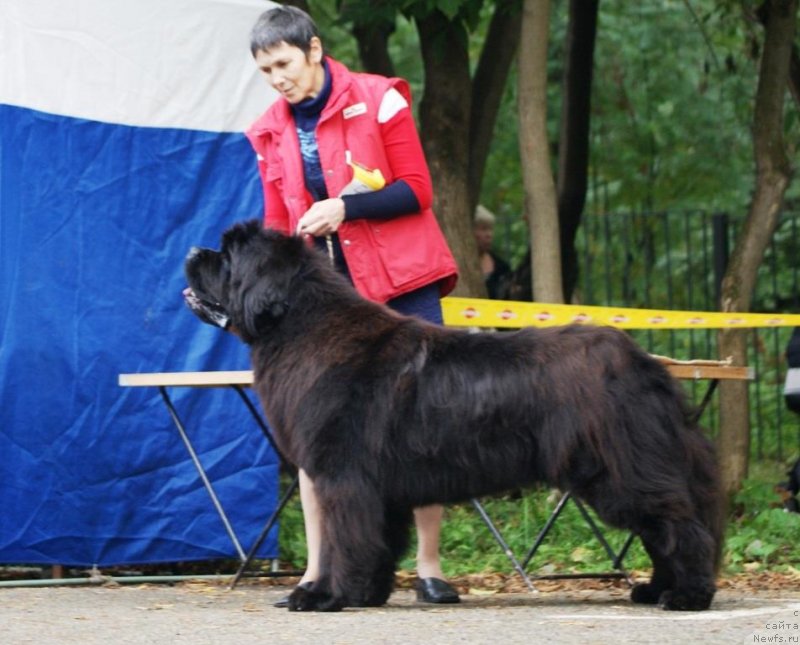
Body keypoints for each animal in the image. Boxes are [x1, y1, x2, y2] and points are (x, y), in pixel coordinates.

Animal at [184, 221, 720, 612]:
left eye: (227, 255)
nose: (192, 250)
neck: (301, 327)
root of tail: (644, 362)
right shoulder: (378, 487)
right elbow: (378, 540)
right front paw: (367, 594)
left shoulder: (342, 476)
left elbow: (342, 538)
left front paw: (323, 595)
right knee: (662, 528)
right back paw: (655, 589)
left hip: (620, 468)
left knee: (678, 523)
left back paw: (686, 596)